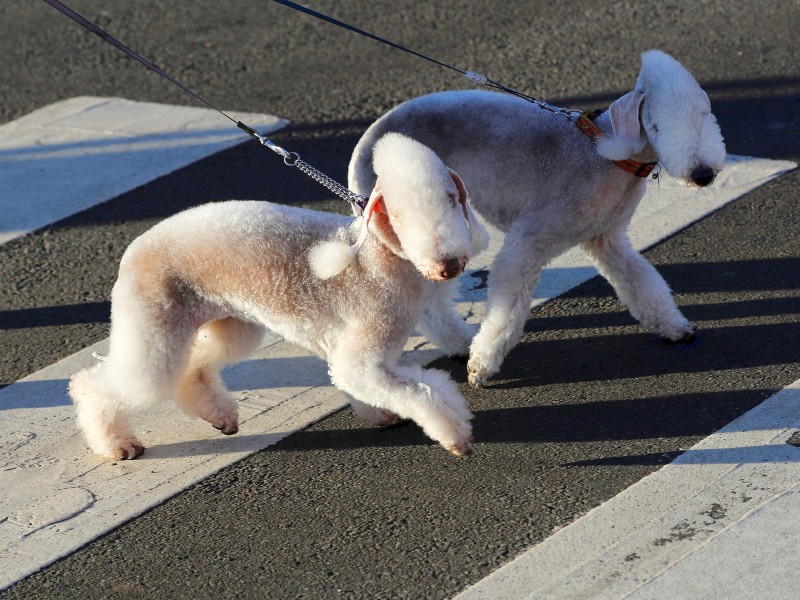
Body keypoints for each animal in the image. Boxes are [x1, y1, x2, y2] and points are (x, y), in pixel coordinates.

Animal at [70, 134, 488, 458]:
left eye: (452, 199)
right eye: (398, 216)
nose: (449, 265)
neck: (378, 257)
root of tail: (133, 249)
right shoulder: (364, 354)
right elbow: (420, 392)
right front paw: (455, 435)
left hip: (230, 322)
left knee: (195, 366)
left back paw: (220, 416)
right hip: (155, 324)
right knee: (103, 384)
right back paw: (116, 444)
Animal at [348, 52, 724, 390]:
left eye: (705, 113)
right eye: (657, 125)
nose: (703, 174)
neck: (611, 159)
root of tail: (367, 144)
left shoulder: (608, 238)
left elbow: (642, 282)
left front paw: (674, 327)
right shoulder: (528, 240)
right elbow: (507, 309)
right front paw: (482, 366)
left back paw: (458, 342)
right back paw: (463, 345)